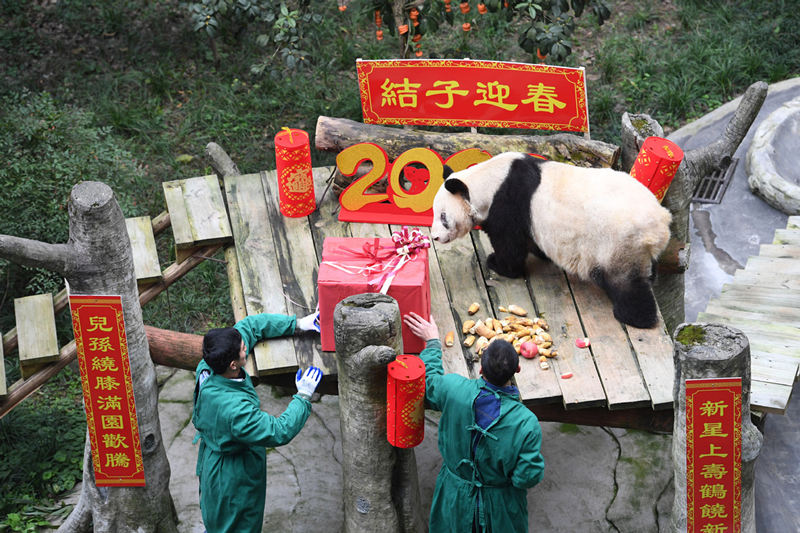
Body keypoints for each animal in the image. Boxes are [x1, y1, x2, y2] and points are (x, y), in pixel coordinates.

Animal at [428, 151, 672, 328]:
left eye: (443, 216)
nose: (435, 236)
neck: (488, 181)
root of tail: (660, 223)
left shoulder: (508, 204)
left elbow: (510, 246)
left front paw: (496, 263)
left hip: (619, 244)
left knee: (626, 285)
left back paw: (633, 317)